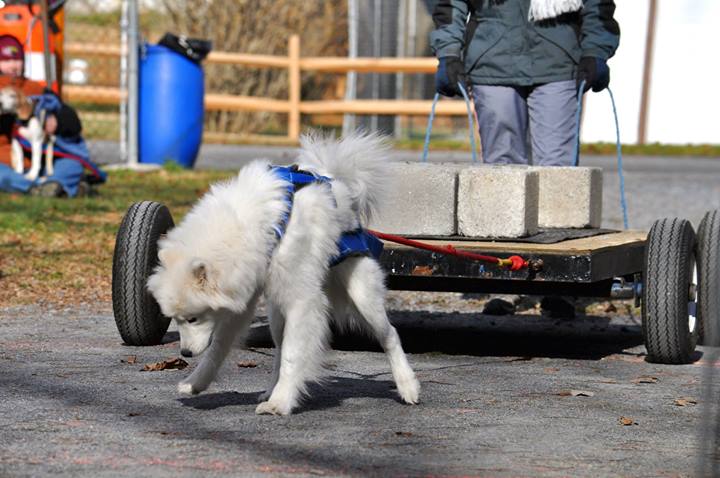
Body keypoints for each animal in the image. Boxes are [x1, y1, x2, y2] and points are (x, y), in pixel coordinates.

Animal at [146, 134, 420, 414]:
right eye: (174, 320)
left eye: (192, 319)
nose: (185, 354)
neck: (257, 227)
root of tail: (335, 182)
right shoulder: (244, 299)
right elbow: (220, 347)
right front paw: (195, 382)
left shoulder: (301, 301)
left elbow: (293, 354)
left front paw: (281, 403)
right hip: (277, 310)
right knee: (278, 347)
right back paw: (269, 390)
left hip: (361, 295)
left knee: (389, 335)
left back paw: (408, 387)